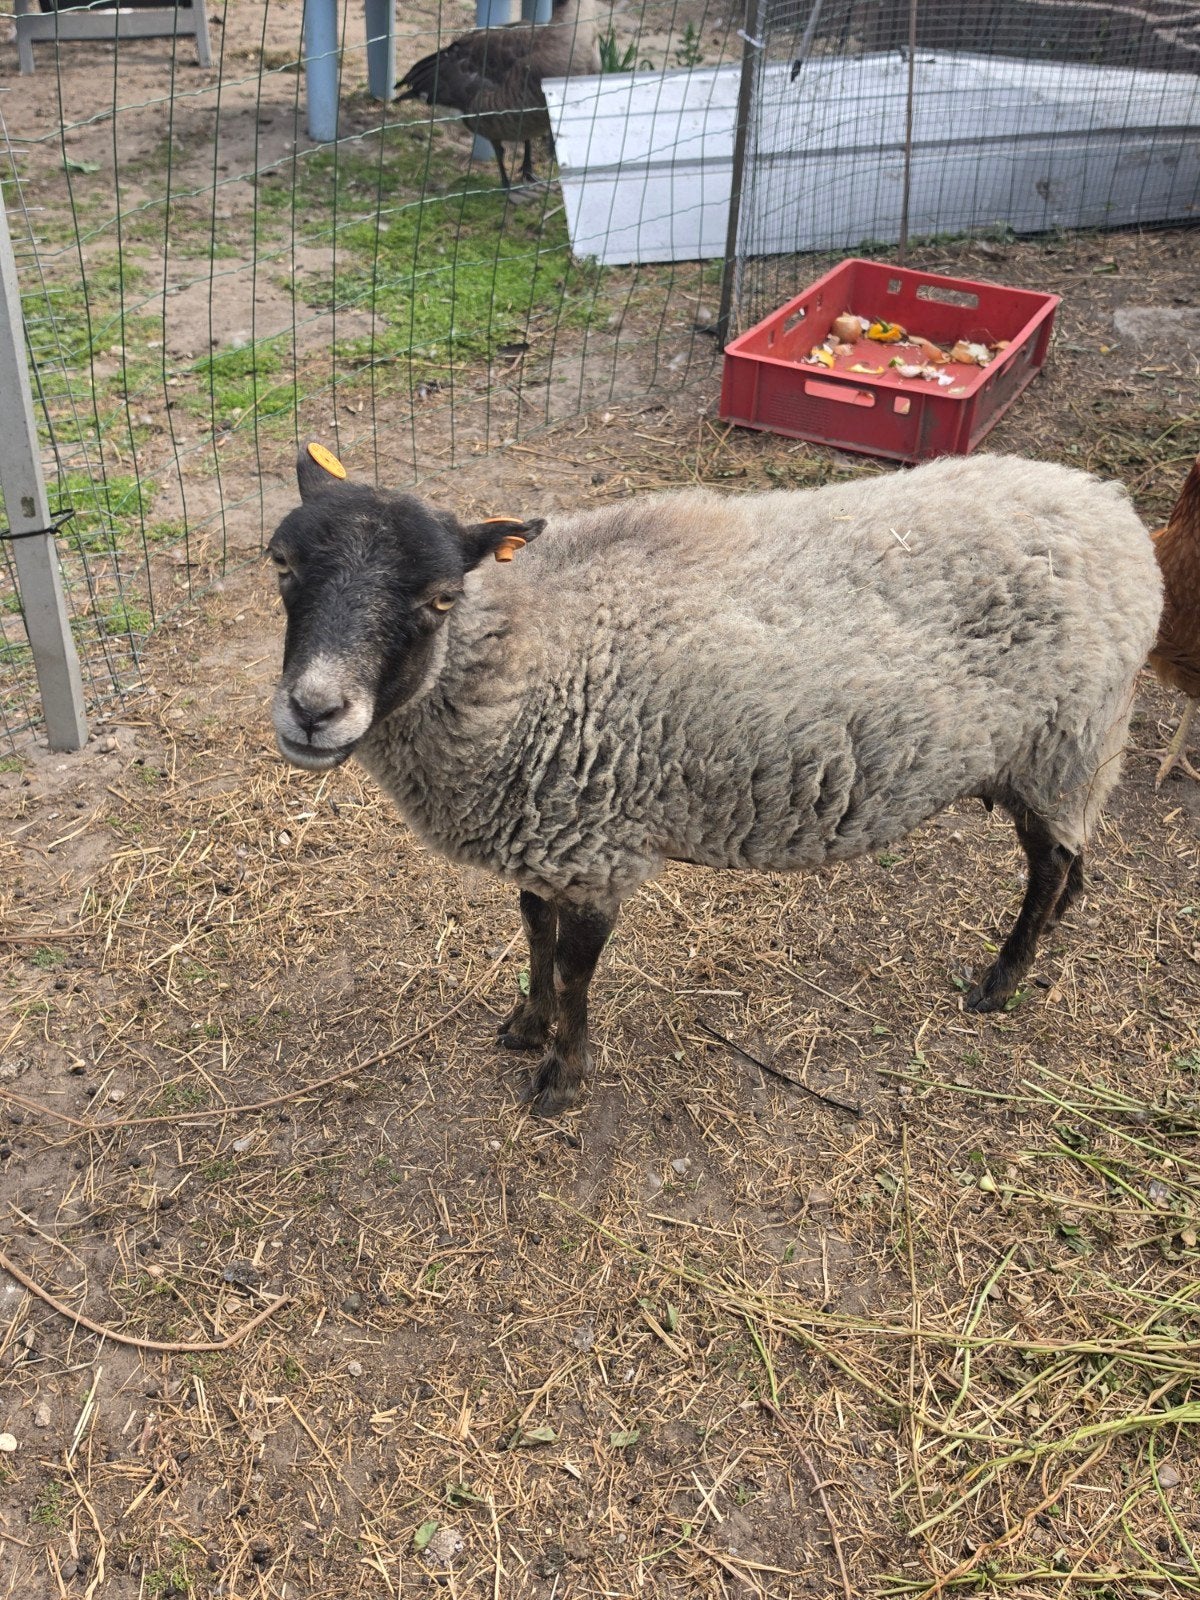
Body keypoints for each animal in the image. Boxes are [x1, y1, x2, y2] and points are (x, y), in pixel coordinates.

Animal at [269, 447, 1163, 1116]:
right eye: (280, 567)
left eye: (442, 598)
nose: (314, 711)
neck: (532, 645)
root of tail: (1111, 505)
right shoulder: (548, 837)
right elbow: (532, 932)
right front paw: (527, 1023)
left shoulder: (596, 851)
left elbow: (575, 970)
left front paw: (563, 1077)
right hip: (1061, 753)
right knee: (1068, 853)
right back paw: (1060, 919)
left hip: (1067, 736)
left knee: (1047, 861)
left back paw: (1003, 977)